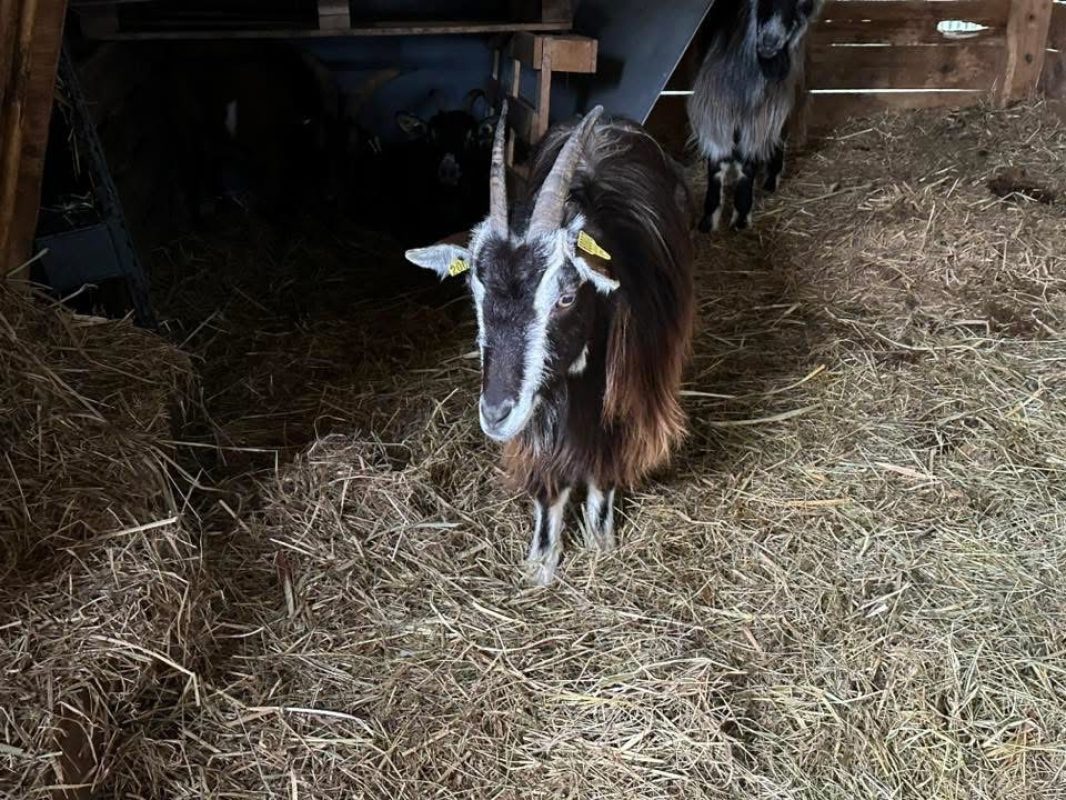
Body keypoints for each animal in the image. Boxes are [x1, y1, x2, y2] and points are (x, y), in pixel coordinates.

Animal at [405, 104, 695, 585]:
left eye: (565, 297)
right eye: (475, 292)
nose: (495, 413)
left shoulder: (625, 403)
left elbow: (604, 473)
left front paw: (600, 541)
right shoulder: (540, 412)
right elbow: (550, 484)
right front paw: (542, 563)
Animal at [687, 0, 822, 232]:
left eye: (803, 4)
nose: (770, 41)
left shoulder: (764, 111)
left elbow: (747, 161)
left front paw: (741, 216)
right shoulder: (713, 103)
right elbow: (717, 160)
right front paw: (709, 219)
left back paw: (771, 179)